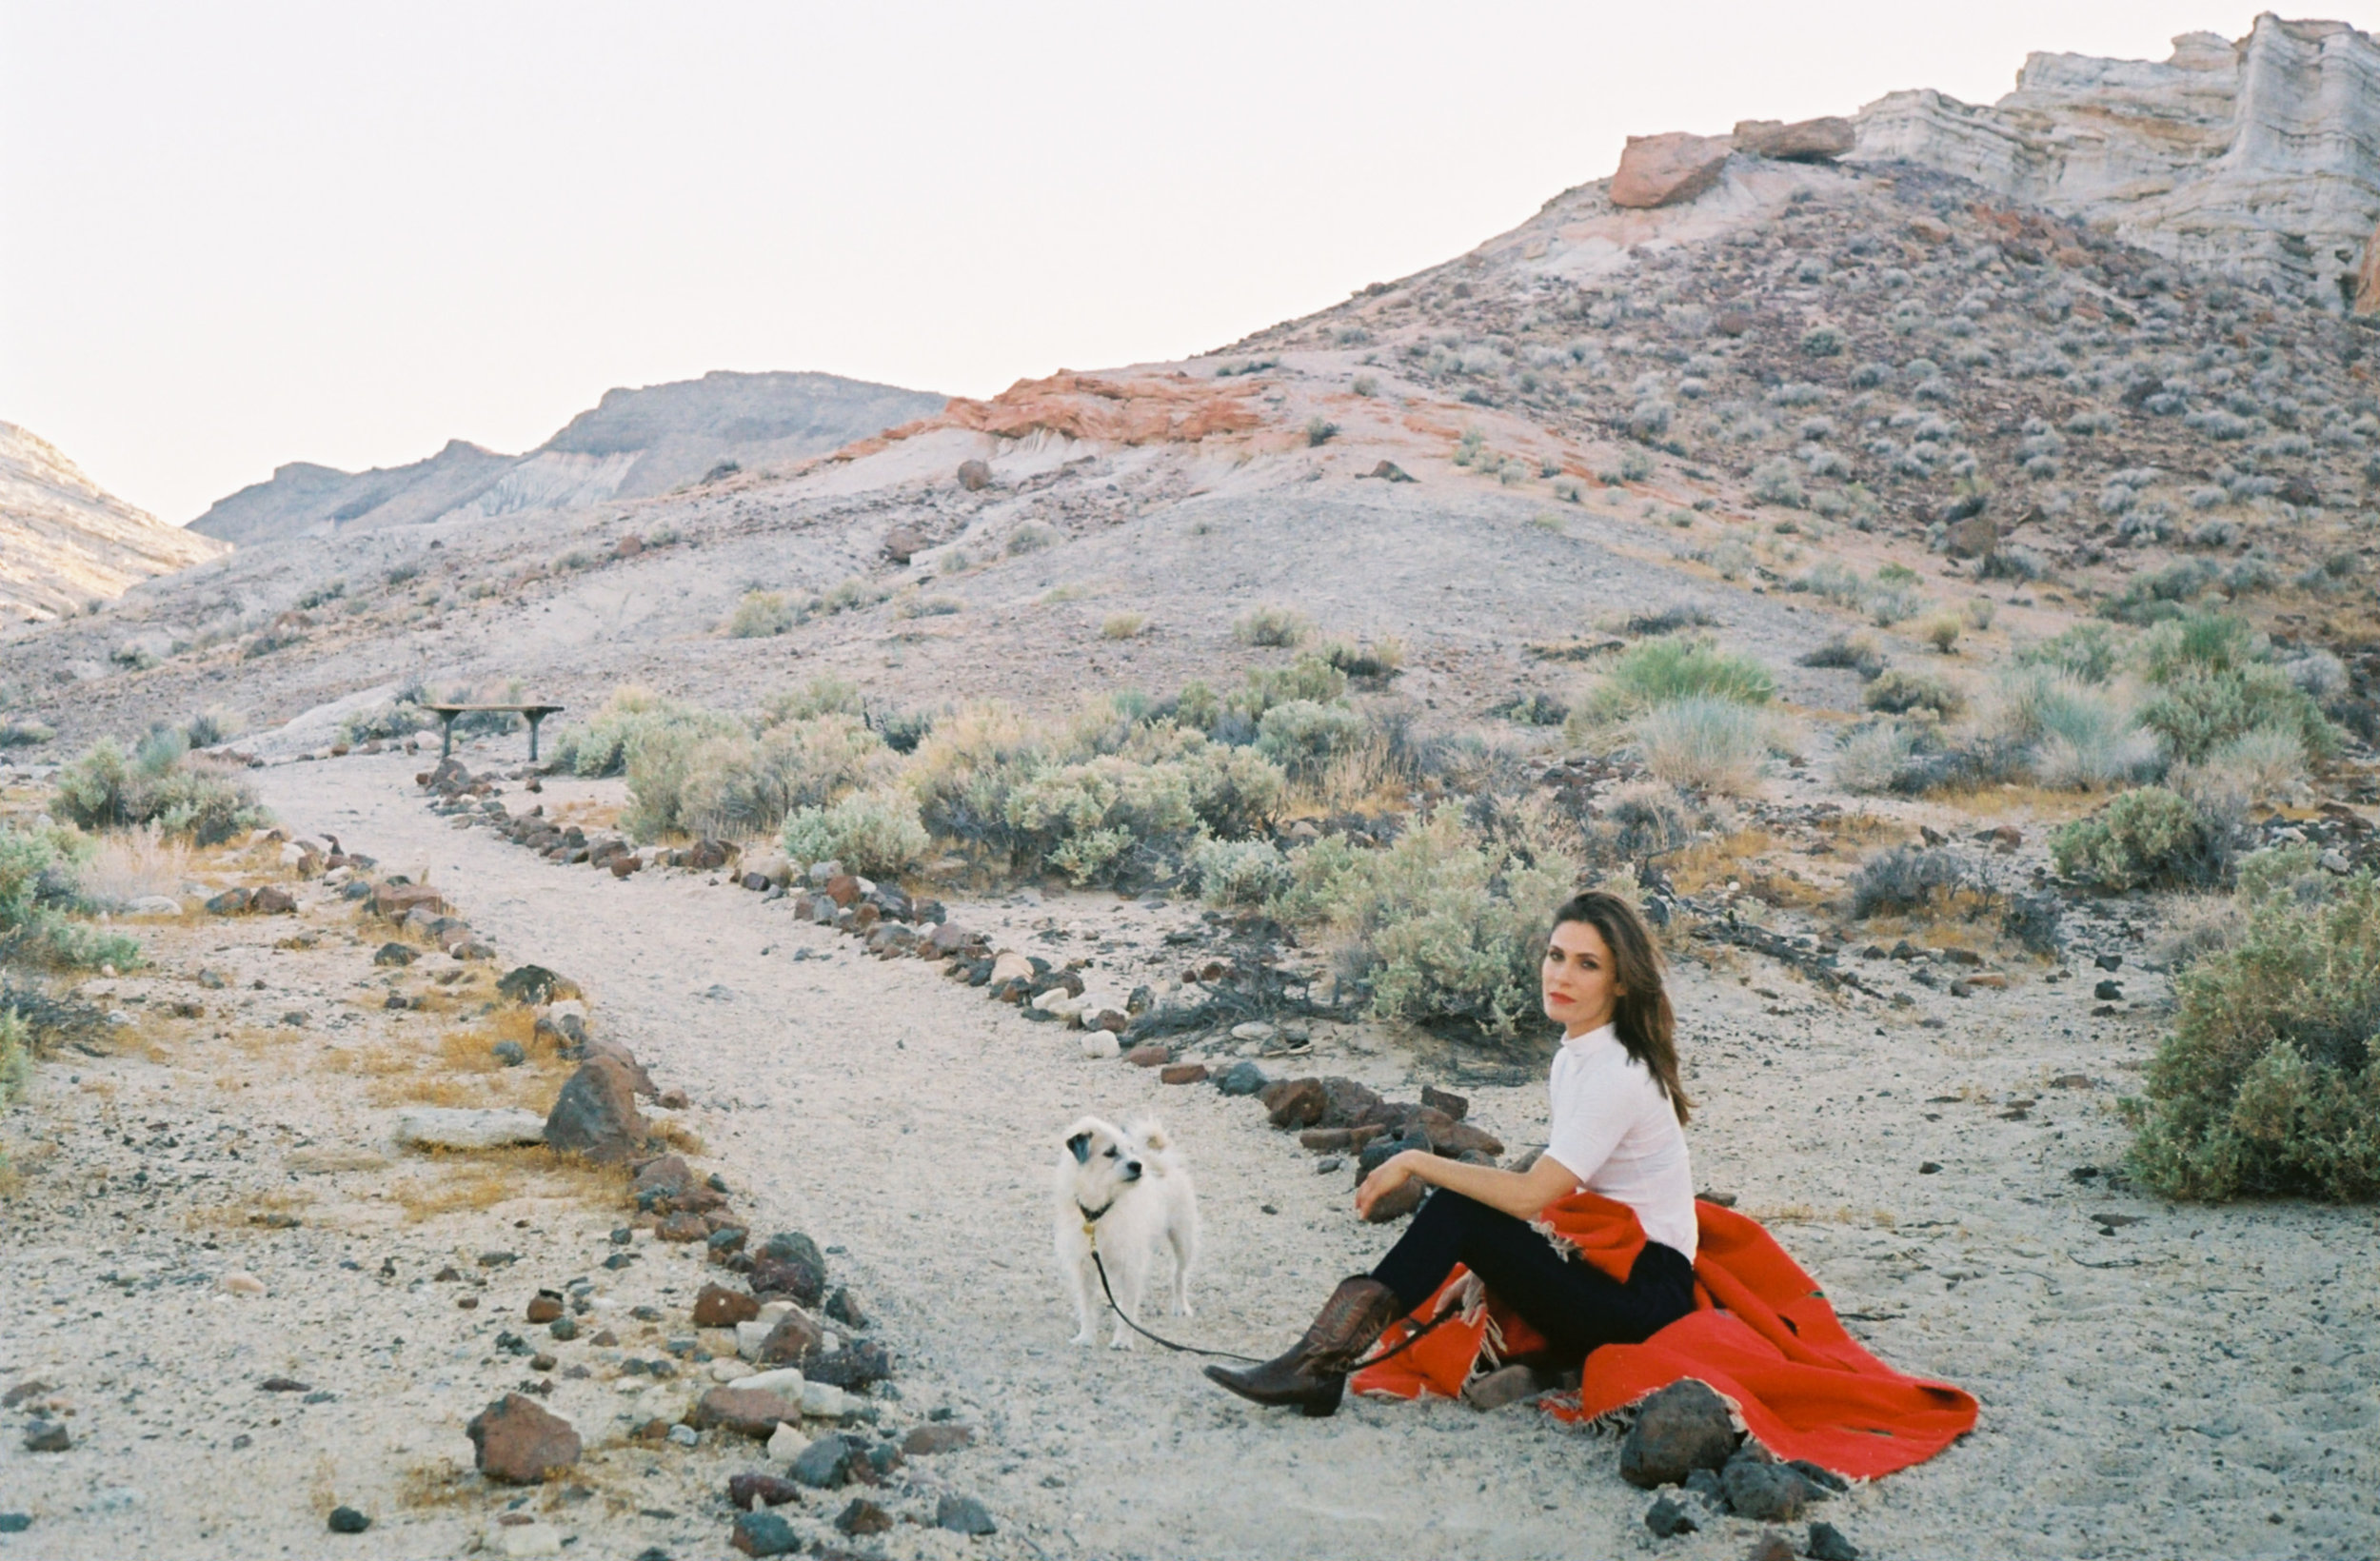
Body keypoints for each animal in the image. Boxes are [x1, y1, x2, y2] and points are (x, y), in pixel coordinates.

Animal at [1052, 1114, 1200, 1352]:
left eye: (1131, 1149)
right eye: (1110, 1152)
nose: (1138, 1165)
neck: (1099, 1212)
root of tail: (1160, 1160)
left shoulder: (1130, 1264)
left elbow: (1128, 1307)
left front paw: (1122, 1339)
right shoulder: (1084, 1266)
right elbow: (1087, 1306)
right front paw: (1086, 1336)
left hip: (1183, 1240)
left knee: (1179, 1274)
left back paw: (1181, 1306)